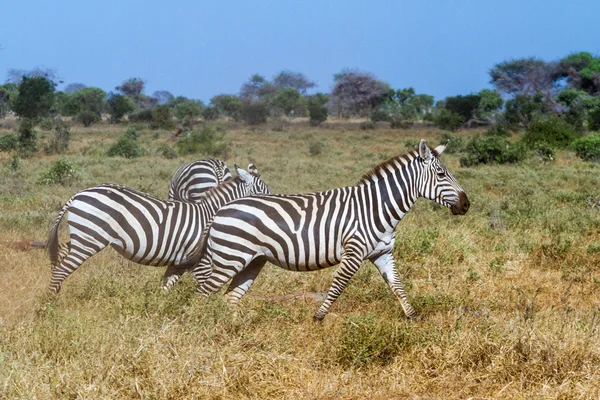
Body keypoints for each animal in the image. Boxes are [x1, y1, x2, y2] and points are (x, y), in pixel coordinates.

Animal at [47, 165, 272, 294]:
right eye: (265, 191)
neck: (210, 214)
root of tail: (77, 194)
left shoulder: (179, 263)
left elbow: (165, 288)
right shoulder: (201, 263)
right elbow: (204, 288)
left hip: (81, 236)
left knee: (60, 257)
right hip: (89, 239)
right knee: (61, 269)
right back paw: (49, 306)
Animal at [195, 139, 472, 320]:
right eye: (441, 174)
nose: (466, 204)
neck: (375, 207)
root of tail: (219, 210)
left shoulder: (383, 253)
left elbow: (397, 285)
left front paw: (413, 317)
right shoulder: (354, 252)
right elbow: (339, 284)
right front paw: (318, 318)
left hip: (251, 261)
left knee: (229, 298)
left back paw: (233, 329)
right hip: (230, 258)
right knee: (202, 293)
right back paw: (200, 328)